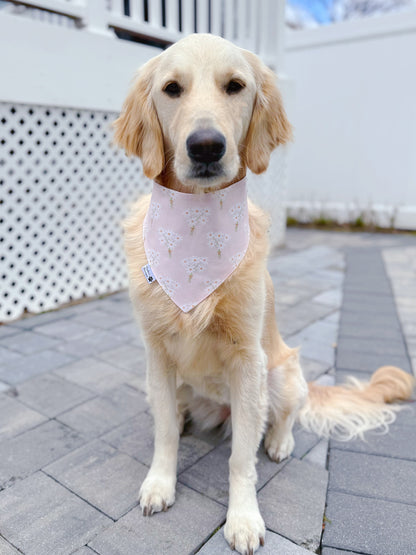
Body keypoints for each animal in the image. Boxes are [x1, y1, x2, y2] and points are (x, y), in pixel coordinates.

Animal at [113, 34, 412, 555]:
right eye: (172, 88)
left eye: (235, 86)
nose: (206, 146)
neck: (195, 235)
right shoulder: (157, 353)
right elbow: (165, 431)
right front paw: (159, 483)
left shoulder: (247, 359)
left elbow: (240, 459)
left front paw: (244, 518)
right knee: (178, 411)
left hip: (282, 374)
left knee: (283, 417)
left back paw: (279, 442)